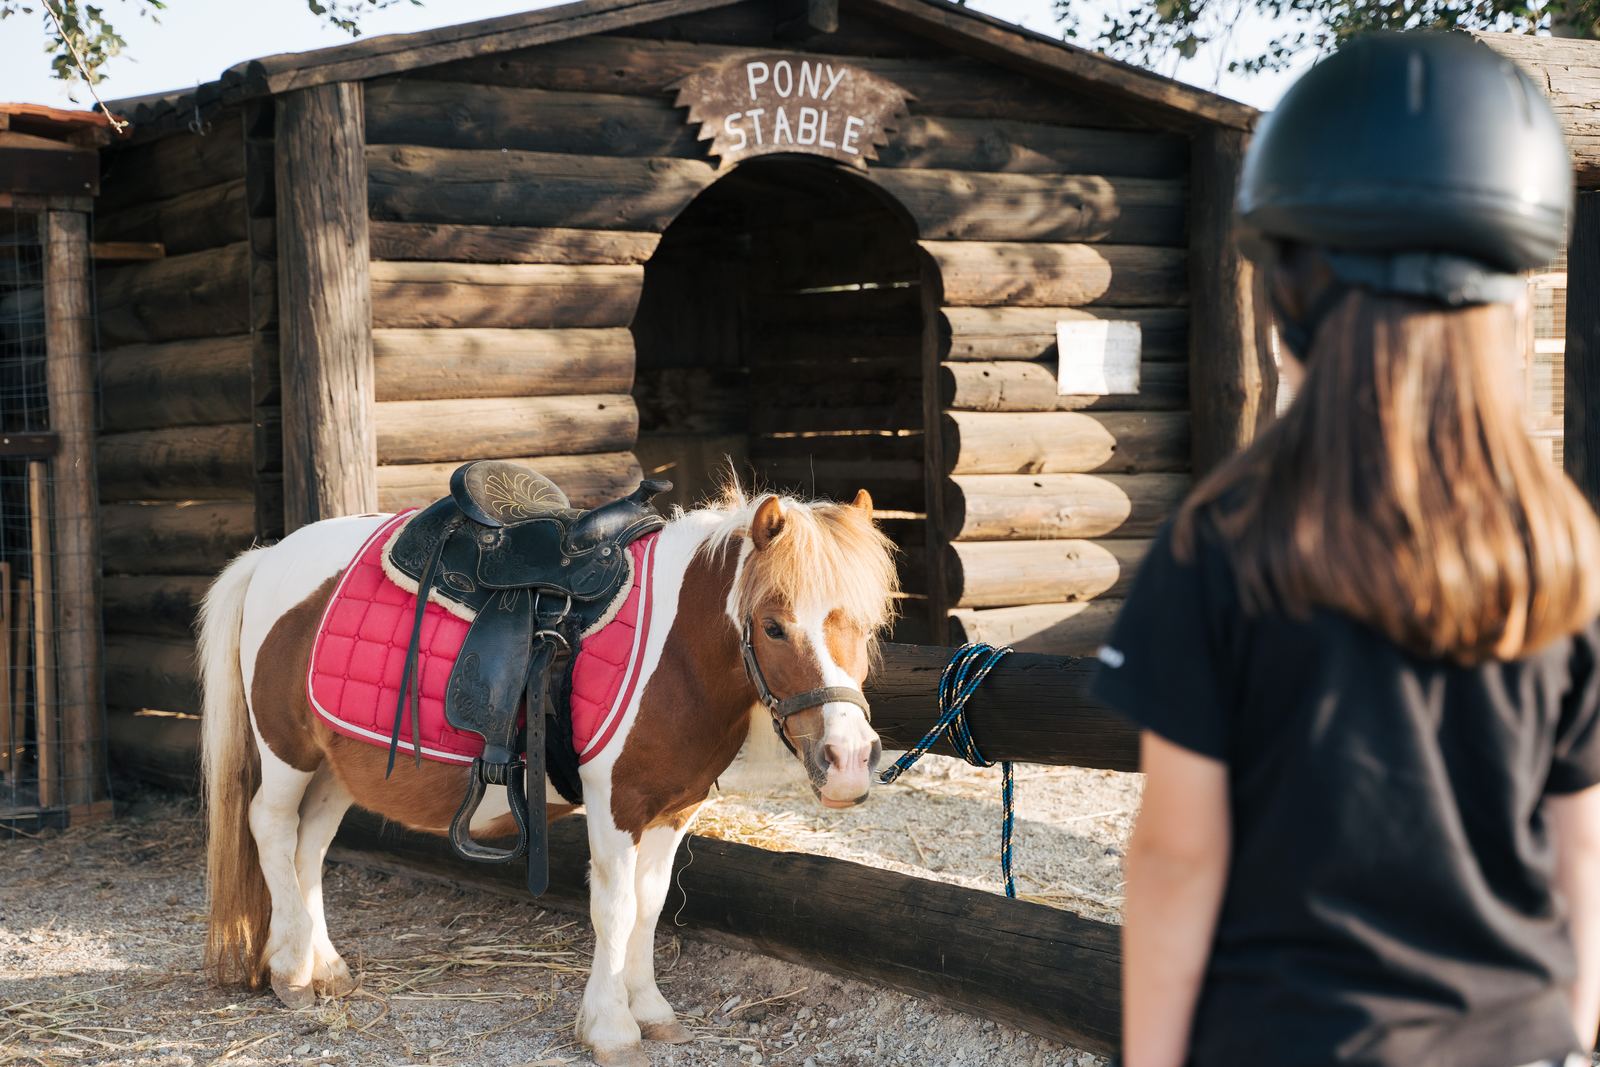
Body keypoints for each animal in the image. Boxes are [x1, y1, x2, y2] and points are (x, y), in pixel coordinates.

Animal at [194, 480, 898, 1067]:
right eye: (774, 626)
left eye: (868, 623)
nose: (847, 762)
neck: (676, 651)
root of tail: (270, 555)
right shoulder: (616, 806)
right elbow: (615, 910)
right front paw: (611, 1029)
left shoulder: (673, 809)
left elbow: (650, 905)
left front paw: (651, 1010)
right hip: (287, 750)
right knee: (271, 828)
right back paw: (290, 974)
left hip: (336, 766)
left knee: (308, 848)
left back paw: (324, 968)